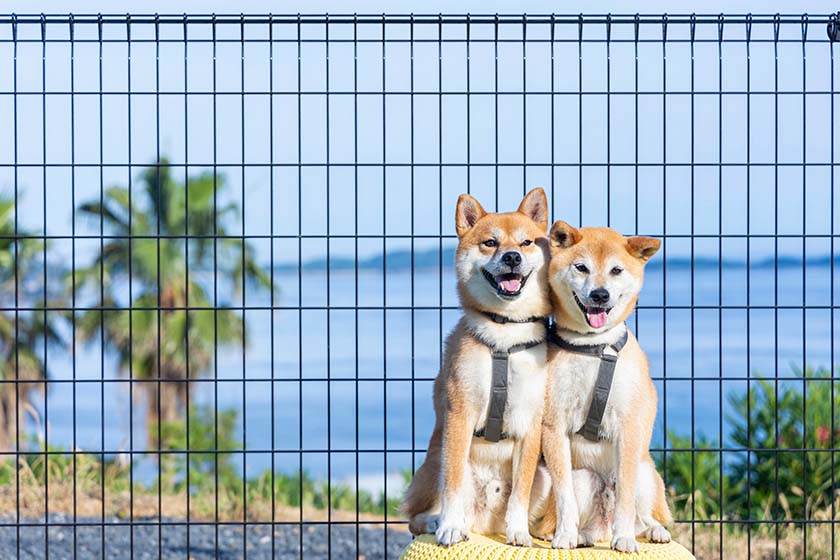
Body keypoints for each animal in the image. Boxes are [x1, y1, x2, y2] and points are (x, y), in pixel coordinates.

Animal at [404, 188, 556, 548]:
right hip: (436, 462)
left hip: (544, 477)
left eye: (526, 242)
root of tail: (484, 524)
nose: (512, 257)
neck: (505, 337)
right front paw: (449, 527)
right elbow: (453, 484)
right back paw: (439, 522)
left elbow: (520, 492)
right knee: (417, 516)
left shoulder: (531, 423)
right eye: (490, 242)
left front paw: (518, 532)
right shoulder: (460, 412)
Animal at [540, 222, 672, 552]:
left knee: (641, 516)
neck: (594, 348)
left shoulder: (628, 426)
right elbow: (563, 495)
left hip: (645, 472)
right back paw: (580, 535)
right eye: (581, 267)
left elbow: (625, 496)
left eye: (616, 270)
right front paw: (564, 535)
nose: (600, 295)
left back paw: (652, 531)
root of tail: (604, 523)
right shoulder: (553, 424)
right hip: (584, 479)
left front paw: (624, 538)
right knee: (587, 520)